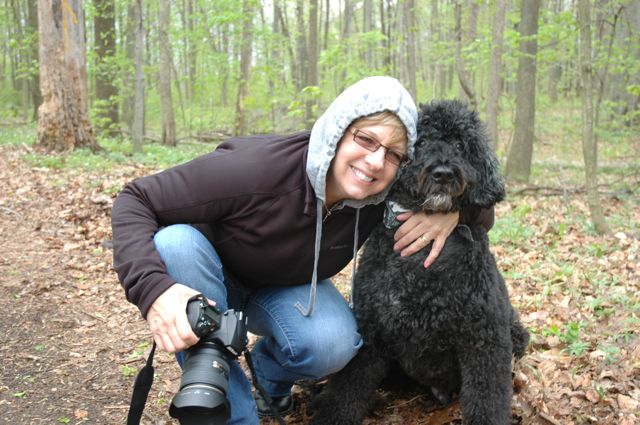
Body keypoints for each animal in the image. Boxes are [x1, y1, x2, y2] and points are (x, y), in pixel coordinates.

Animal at [312, 100, 528, 424]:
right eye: (421, 142)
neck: (423, 261)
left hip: (515, 332)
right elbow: (346, 388)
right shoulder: (370, 328)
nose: (443, 173)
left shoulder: (485, 338)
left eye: (460, 145)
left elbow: (488, 398)